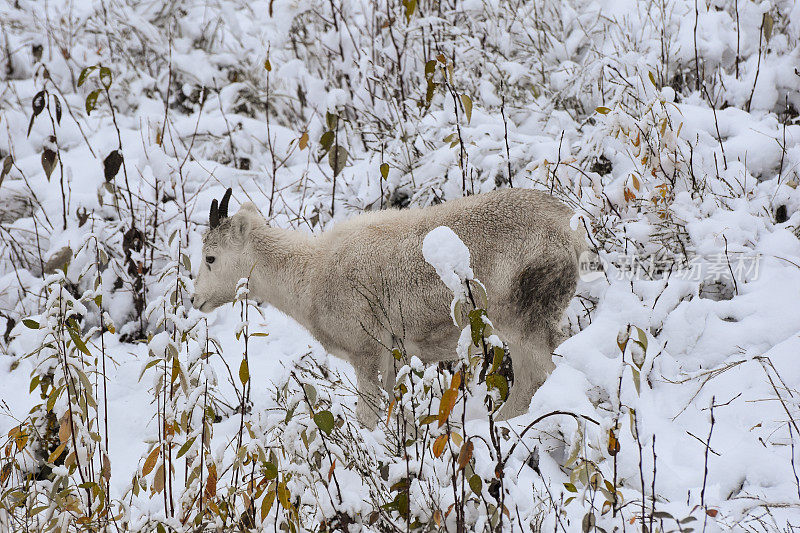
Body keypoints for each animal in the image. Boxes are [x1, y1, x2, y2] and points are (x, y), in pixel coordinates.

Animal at [191, 187, 584, 424]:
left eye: (210, 257)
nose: (195, 300)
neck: (310, 276)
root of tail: (573, 232)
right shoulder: (394, 357)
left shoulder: (365, 353)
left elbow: (367, 416)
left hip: (523, 321)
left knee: (539, 377)